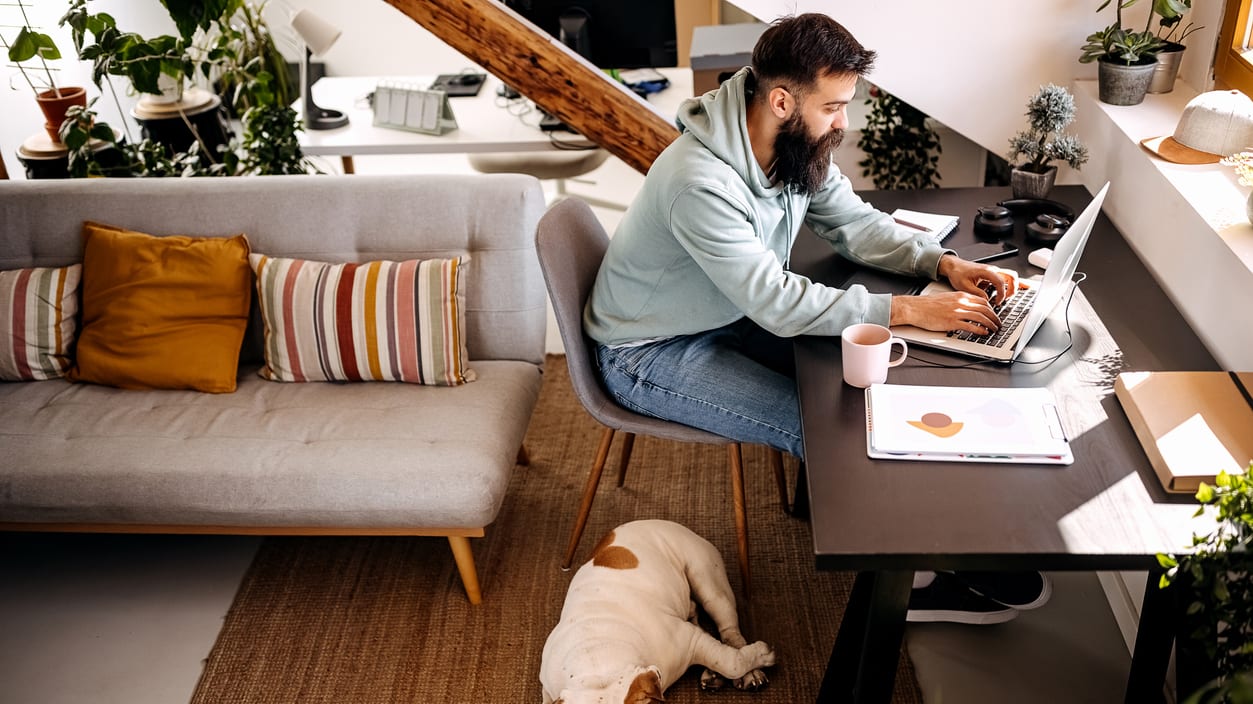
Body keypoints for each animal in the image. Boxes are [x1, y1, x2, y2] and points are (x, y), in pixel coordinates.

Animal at [538, 518, 771, 696]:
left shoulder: (690, 639)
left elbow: (731, 662)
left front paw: (762, 655)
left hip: (709, 583)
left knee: (730, 632)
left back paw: (750, 672)